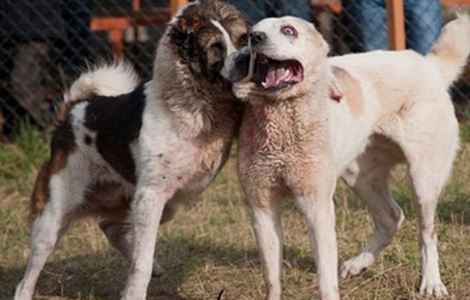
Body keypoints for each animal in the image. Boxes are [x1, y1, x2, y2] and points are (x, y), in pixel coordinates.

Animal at [13, 1, 250, 298]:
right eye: (216, 47)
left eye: (244, 39)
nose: (246, 59)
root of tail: (71, 113)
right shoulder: (150, 197)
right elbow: (141, 263)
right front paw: (134, 292)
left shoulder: (151, 200)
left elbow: (139, 255)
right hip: (56, 215)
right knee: (31, 270)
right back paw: (24, 290)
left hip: (154, 205)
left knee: (108, 226)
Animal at [233, 15, 468, 298]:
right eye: (251, 33)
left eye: (288, 30)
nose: (254, 38)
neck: (281, 119)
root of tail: (428, 66)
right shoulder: (262, 209)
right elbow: (272, 279)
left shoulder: (318, 206)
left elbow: (325, 278)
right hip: (360, 177)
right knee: (392, 217)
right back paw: (358, 264)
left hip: (423, 181)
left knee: (427, 233)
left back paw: (431, 282)